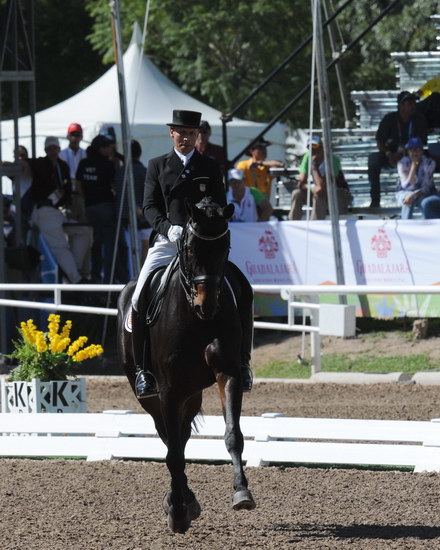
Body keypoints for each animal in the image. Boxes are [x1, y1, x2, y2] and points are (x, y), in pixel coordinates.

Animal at [117, 197, 256, 536]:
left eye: (225, 247)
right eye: (190, 248)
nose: (207, 305)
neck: (196, 319)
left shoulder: (228, 373)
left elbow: (233, 434)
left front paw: (241, 493)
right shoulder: (168, 390)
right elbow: (174, 453)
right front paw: (178, 513)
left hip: (191, 394)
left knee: (180, 435)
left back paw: (186, 499)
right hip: (151, 396)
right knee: (170, 440)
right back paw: (180, 503)